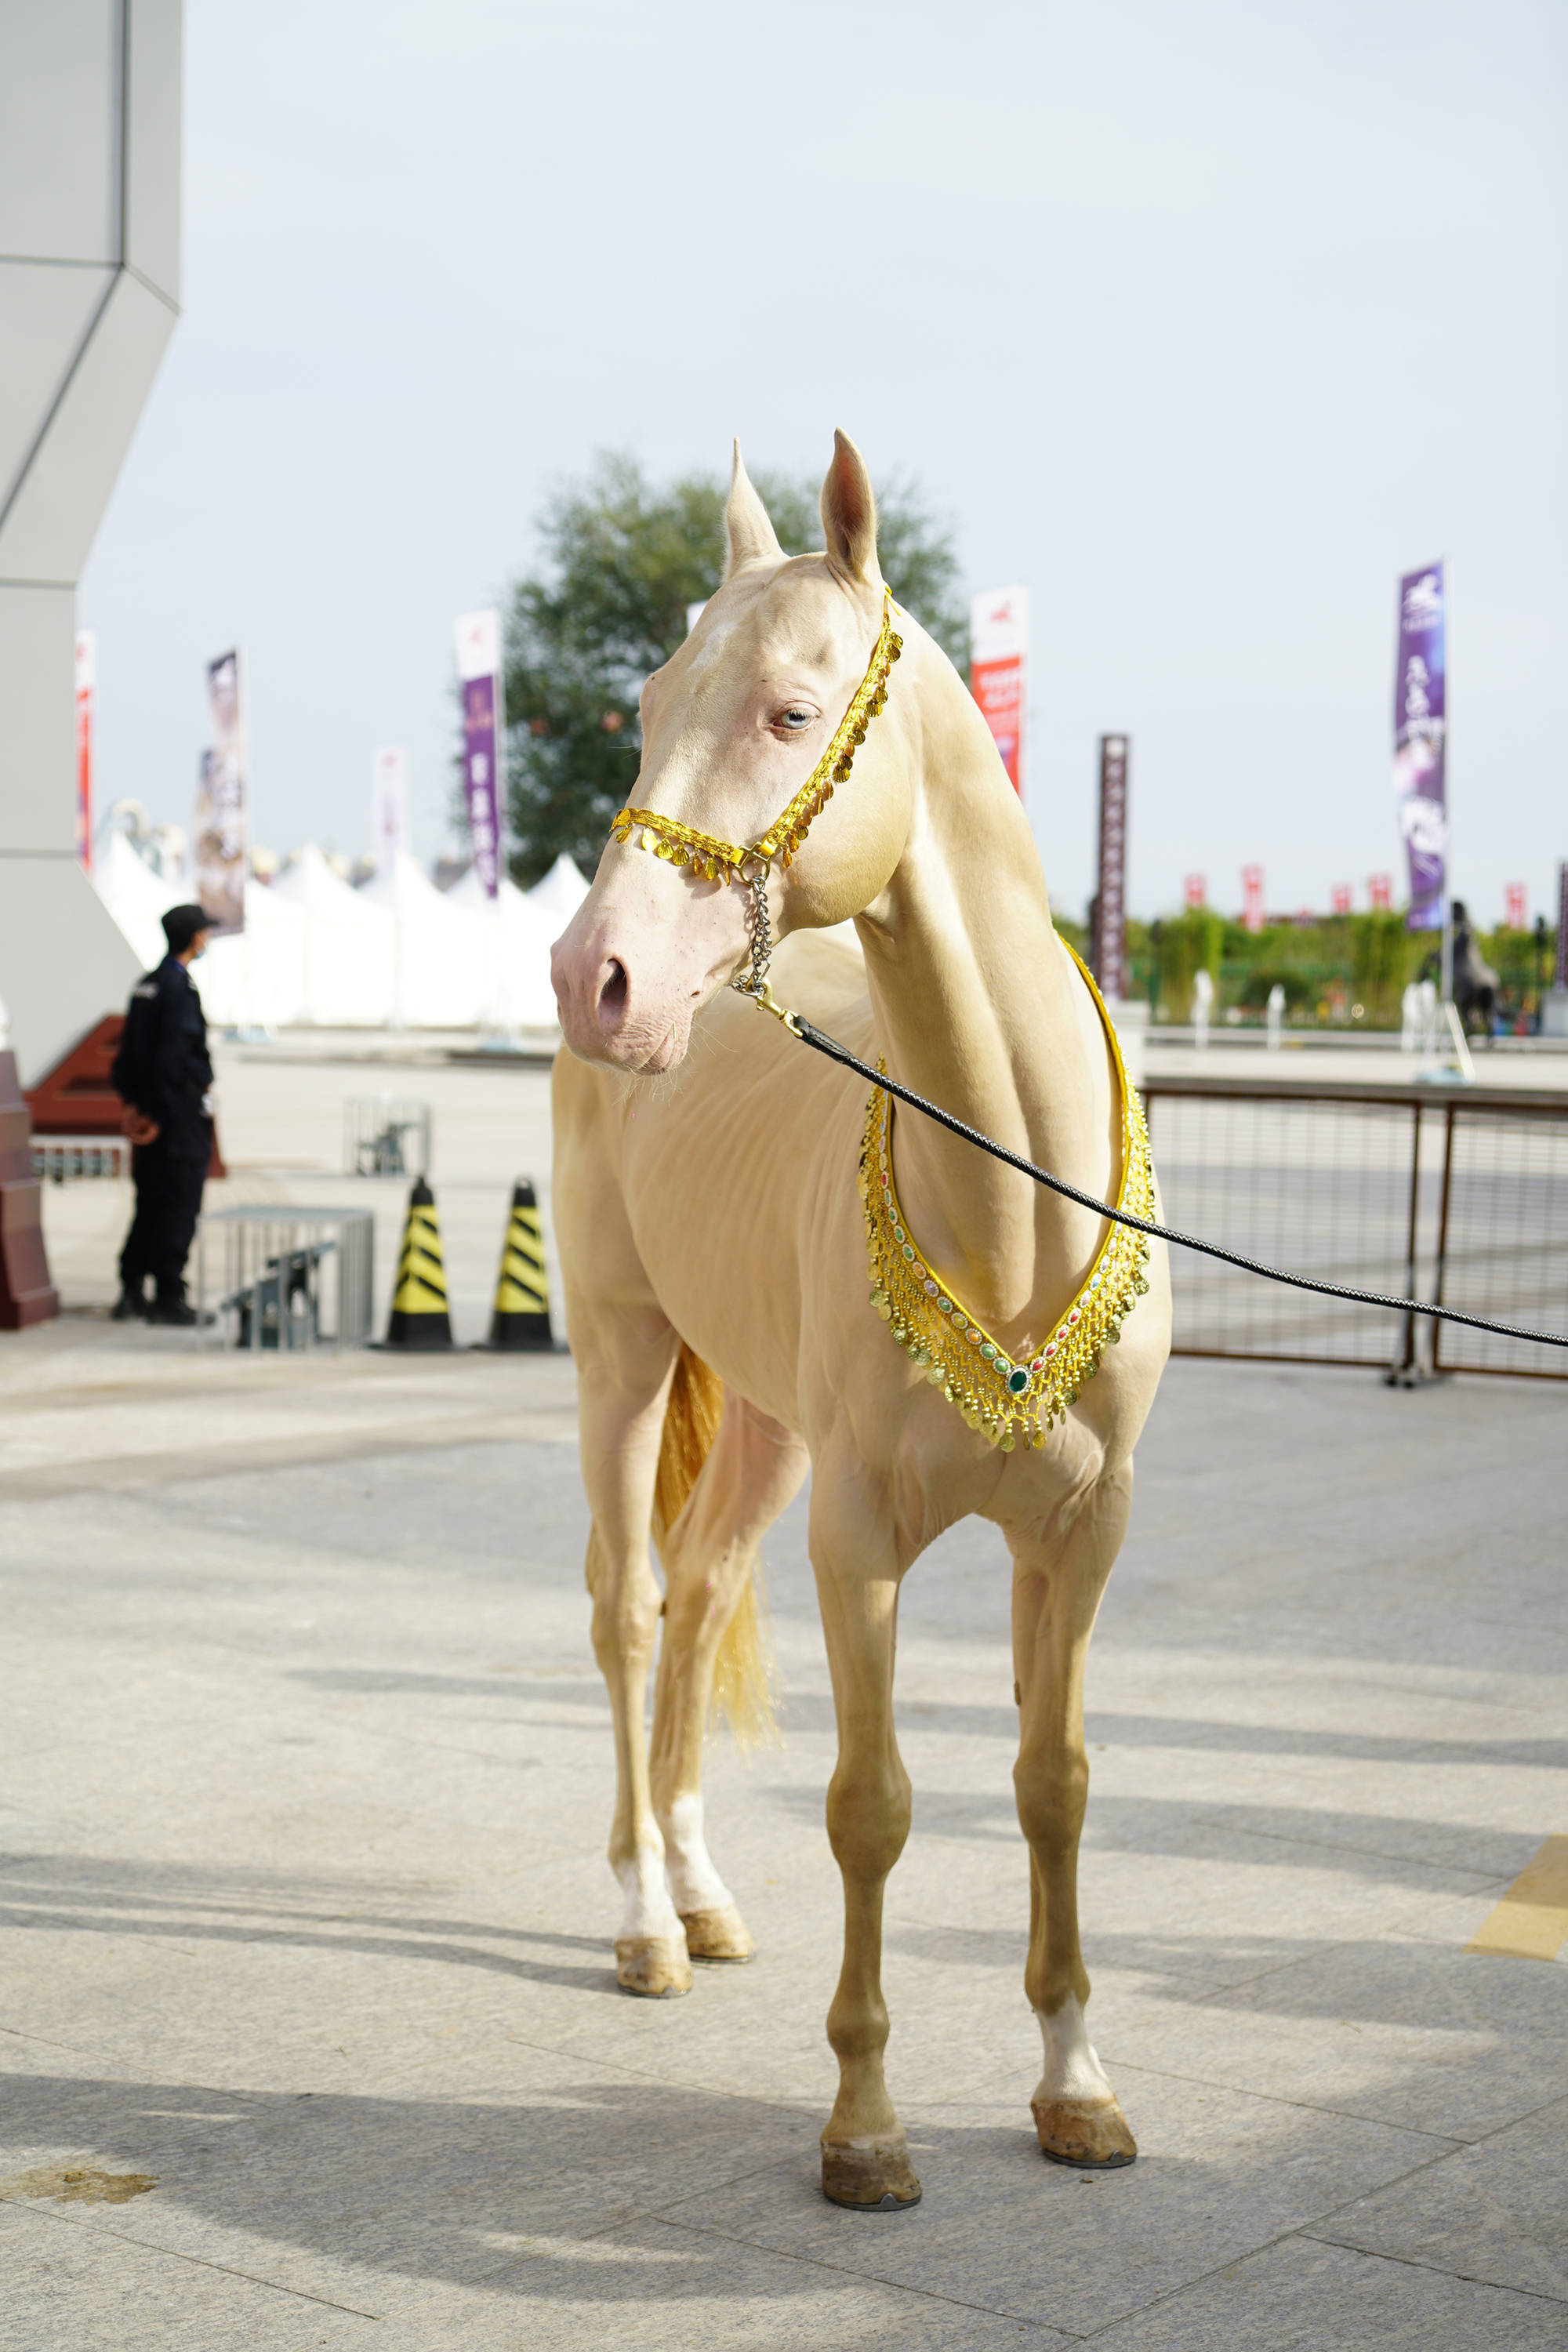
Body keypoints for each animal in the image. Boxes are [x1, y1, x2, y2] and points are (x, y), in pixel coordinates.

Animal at [545, 428, 1171, 2201]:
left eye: (785, 712)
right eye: (644, 702)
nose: (597, 978)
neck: (1014, 1206)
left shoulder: (1082, 1533)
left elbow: (1052, 1785)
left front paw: (1076, 2085)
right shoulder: (863, 1539)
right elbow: (873, 1805)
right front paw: (867, 2126)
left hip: (761, 1424)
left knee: (696, 1599)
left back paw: (699, 1894)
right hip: (621, 1358)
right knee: (630, 1612)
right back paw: (644, 1923)